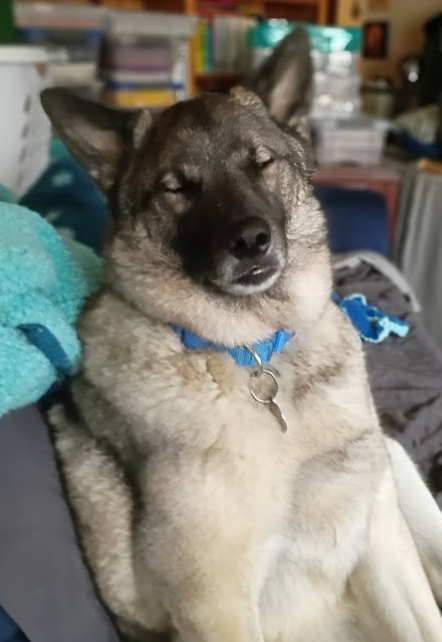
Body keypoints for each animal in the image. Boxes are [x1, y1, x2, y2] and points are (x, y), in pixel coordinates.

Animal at [41, 31, 442, 642]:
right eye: (177, 188)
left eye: (262, 164)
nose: (251, 241)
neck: (254, 348)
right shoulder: (218, 605)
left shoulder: (377, 531)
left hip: (392, 464)